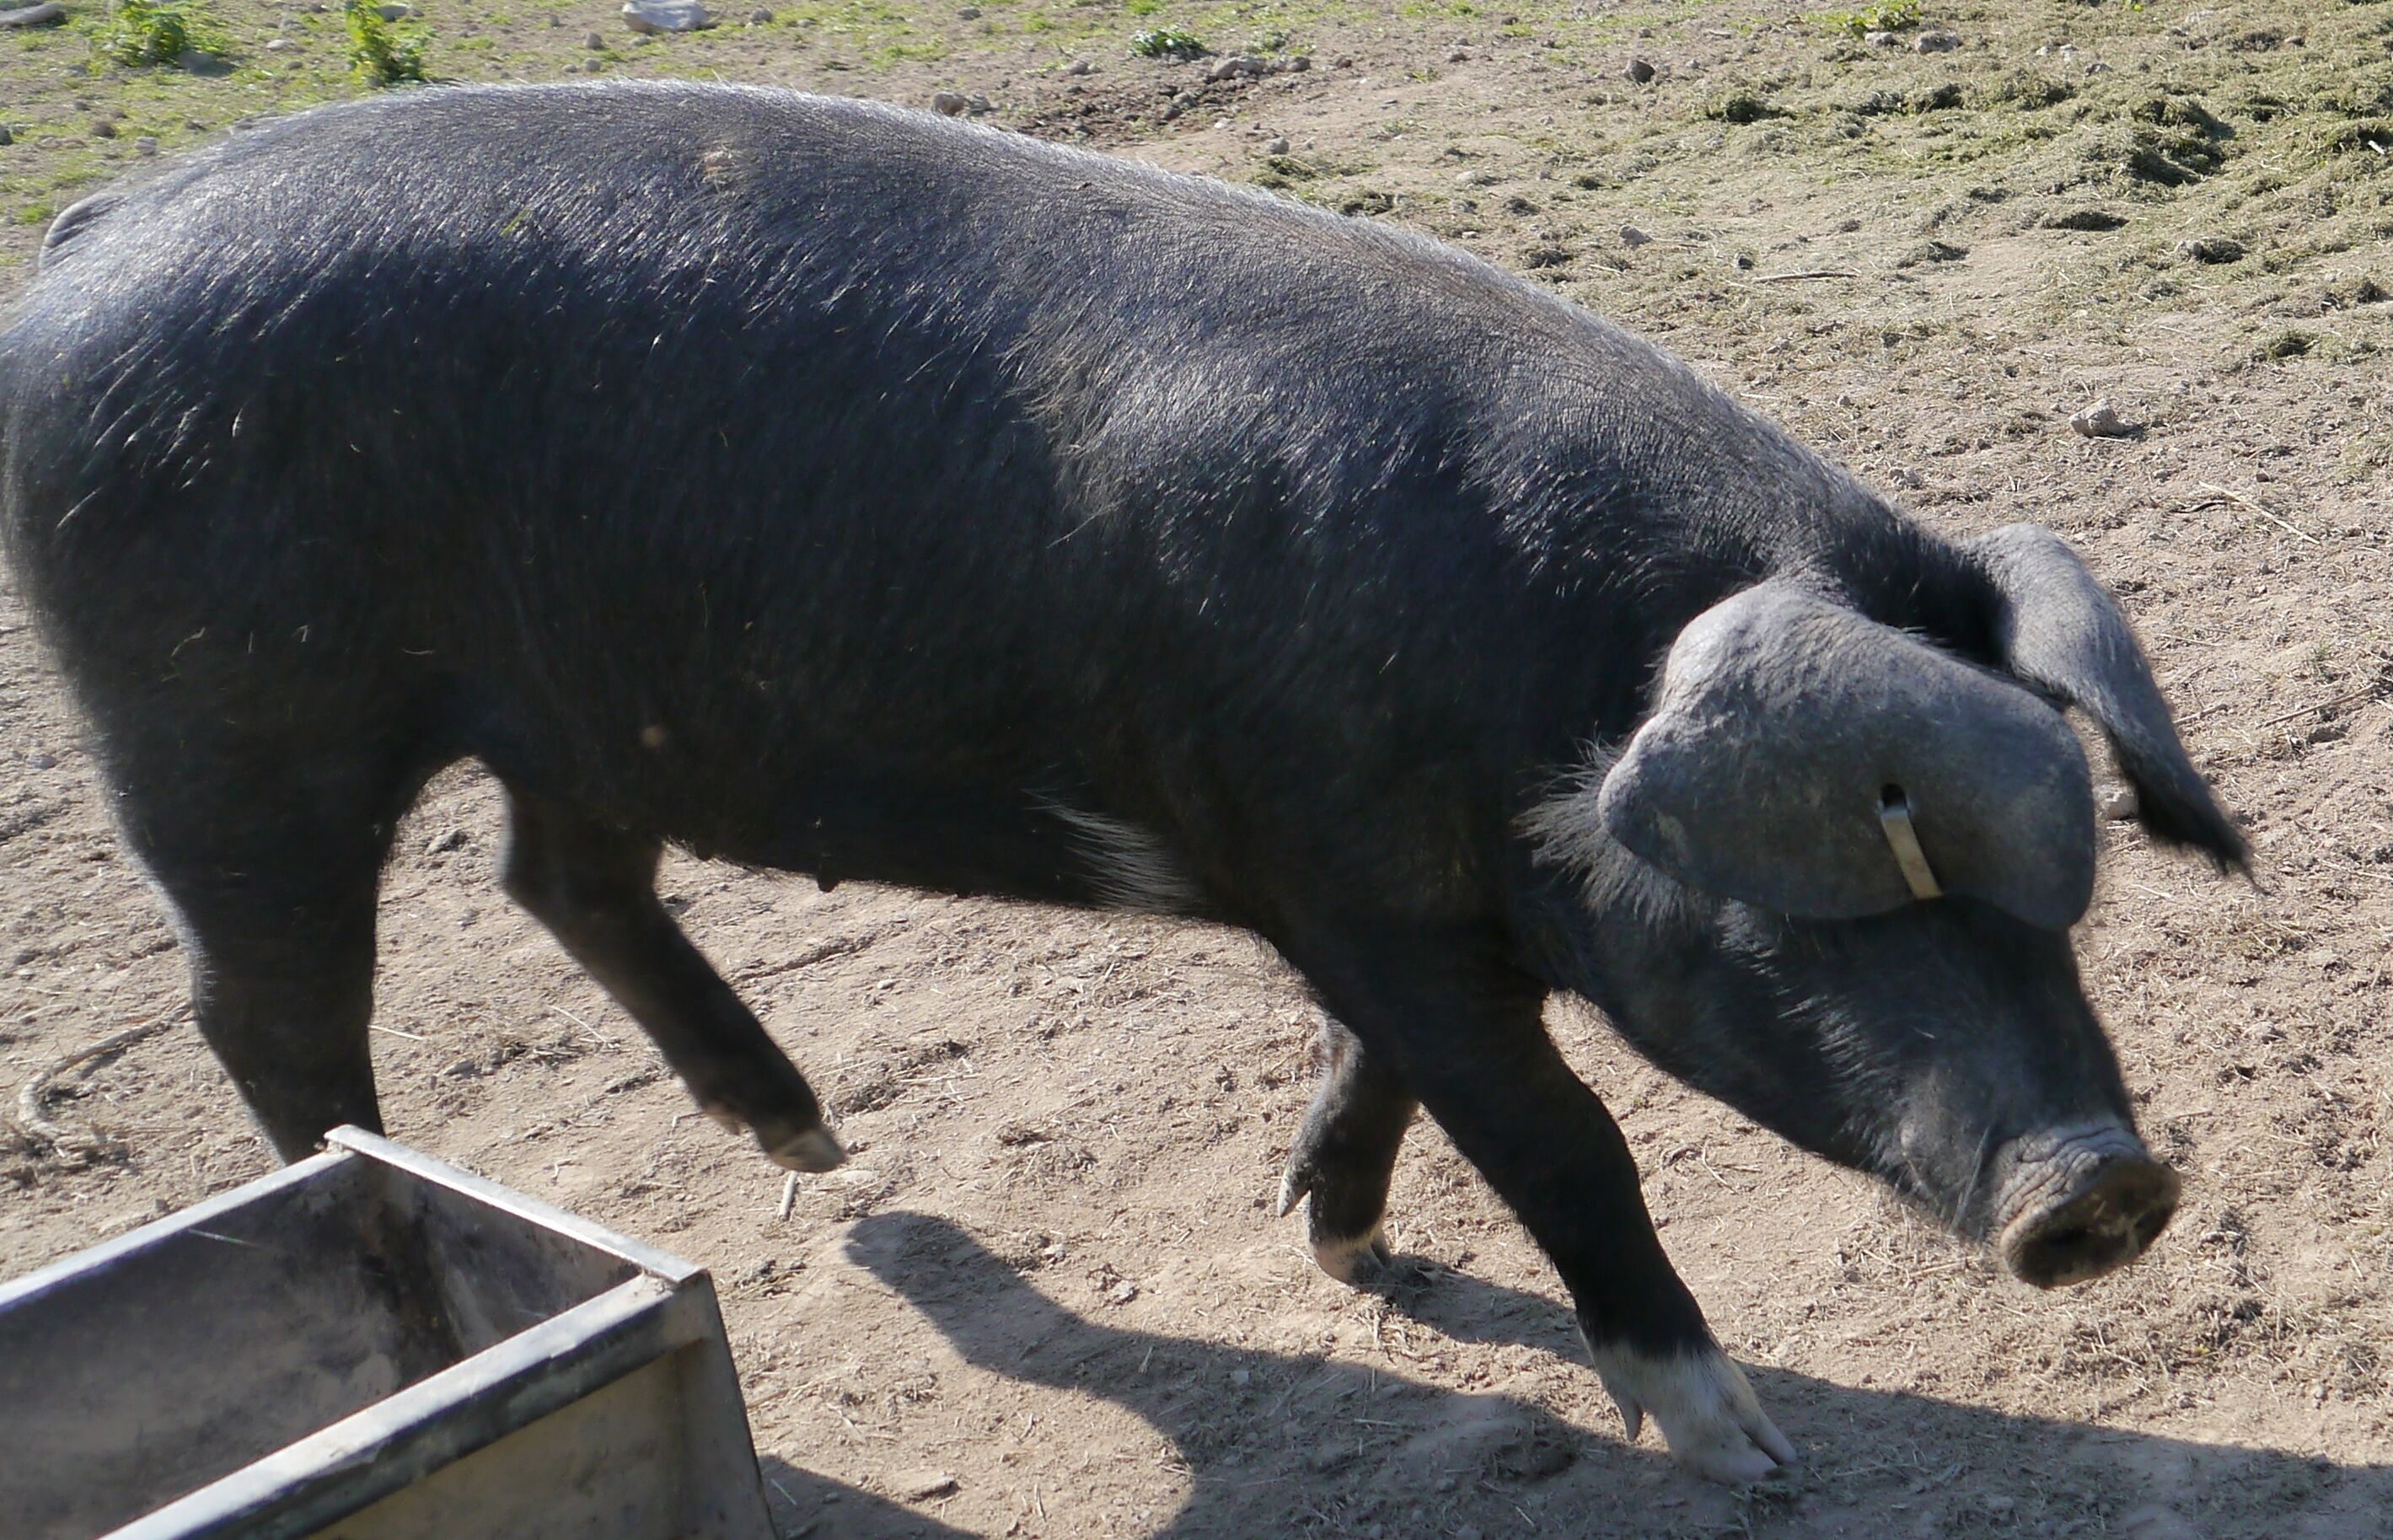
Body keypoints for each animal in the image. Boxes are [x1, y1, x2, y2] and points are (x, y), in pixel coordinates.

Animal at [0, 83, 2244, 1481]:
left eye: (2059, 901)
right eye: (1818, 909)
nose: (2105, 1180)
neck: (1538, 691)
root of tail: (89, 232)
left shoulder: (1368, 897)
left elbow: (1393, 1073)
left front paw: (1334, 1248)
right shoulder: (1348, 875)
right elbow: (1561, 1136)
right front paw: (1748, 1448)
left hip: (581, 693)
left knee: (560, 878)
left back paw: (816, 1145)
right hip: (225, 718)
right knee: (269, 1006)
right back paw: (387, 1205)